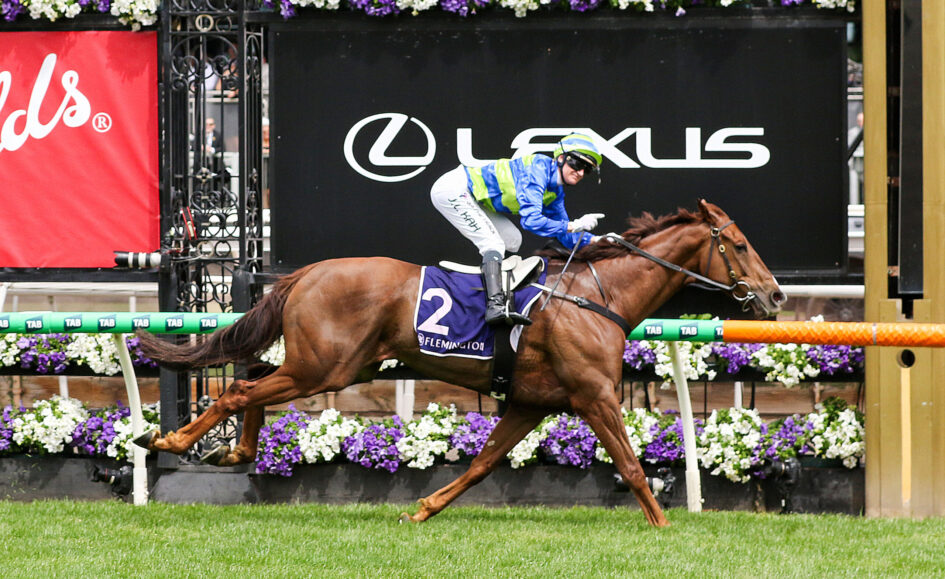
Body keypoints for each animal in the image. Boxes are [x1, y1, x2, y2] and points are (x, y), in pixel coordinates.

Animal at [134, 199, 785, 527]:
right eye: (740, 245)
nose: (776, 295)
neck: (595, 297)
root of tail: (307, 273)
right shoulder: (595, 395)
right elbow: (630, 465)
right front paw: (669, 533)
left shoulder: (529, 402)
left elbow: (482, 465)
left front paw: (423, 510)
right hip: (327, 368)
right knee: (239, 391)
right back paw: (171, 441)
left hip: (341, 366)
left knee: (253, 383)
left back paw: (233, 450)